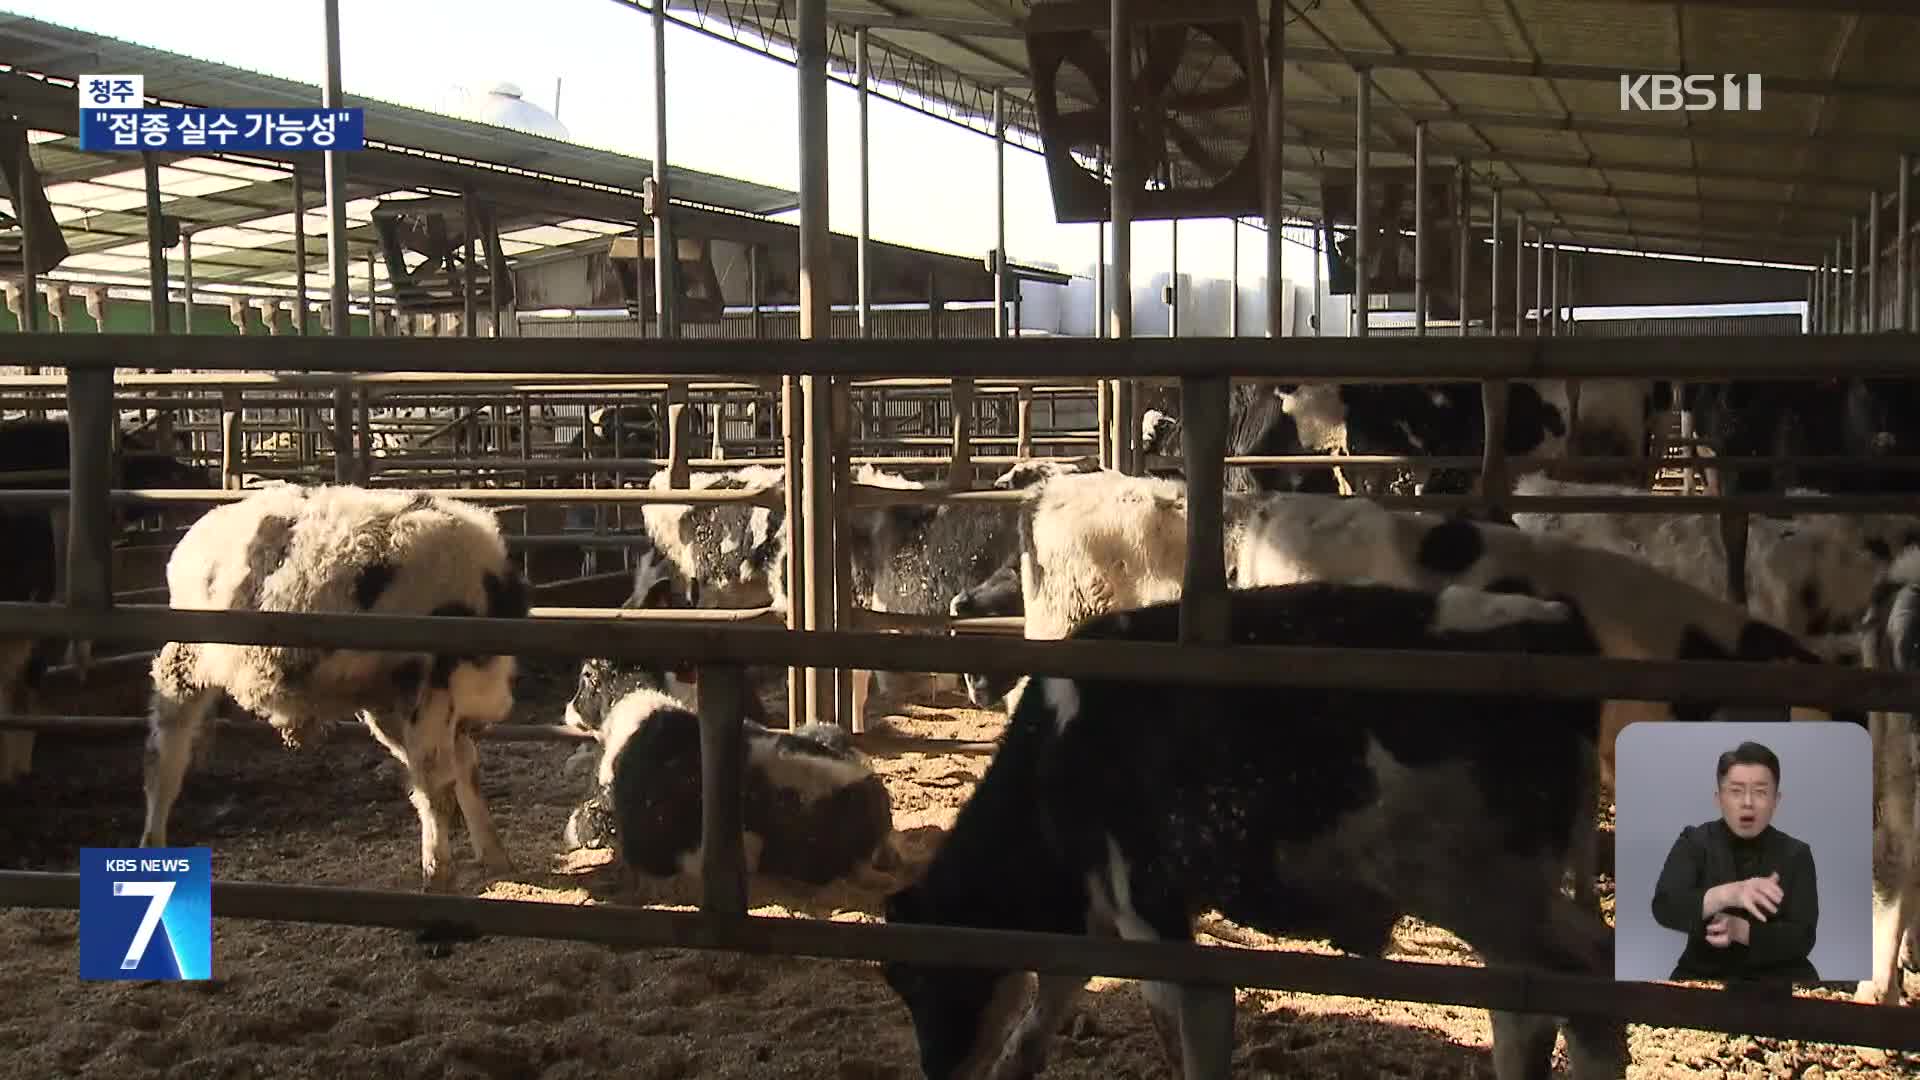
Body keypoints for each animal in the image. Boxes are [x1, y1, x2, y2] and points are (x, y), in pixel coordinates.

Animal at [879, 580, 1620, 1076]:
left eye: (915, 979)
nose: (937, 1070)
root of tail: (1557, 618)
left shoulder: (1144, 900)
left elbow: (1185, 1026)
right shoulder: (1098, 904)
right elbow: (1050, 1003)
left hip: (1478, 886)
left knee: (1559, 994)